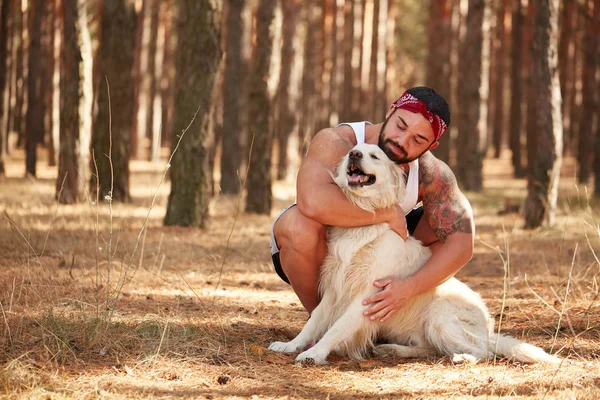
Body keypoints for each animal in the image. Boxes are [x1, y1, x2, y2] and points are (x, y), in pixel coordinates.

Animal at [270, 144, 560, 366]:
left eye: (374, 156)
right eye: (353, 150)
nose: (354, 154)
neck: (364, 219)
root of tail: (488, 328)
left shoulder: (368, 295)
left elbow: (337, 327)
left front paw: (314, 353)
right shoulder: (335, 287)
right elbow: (314, 320)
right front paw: (291, 345)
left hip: (439, 316)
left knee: (484, 352)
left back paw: (463, 358)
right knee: (430, 348)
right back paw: (392, 349)